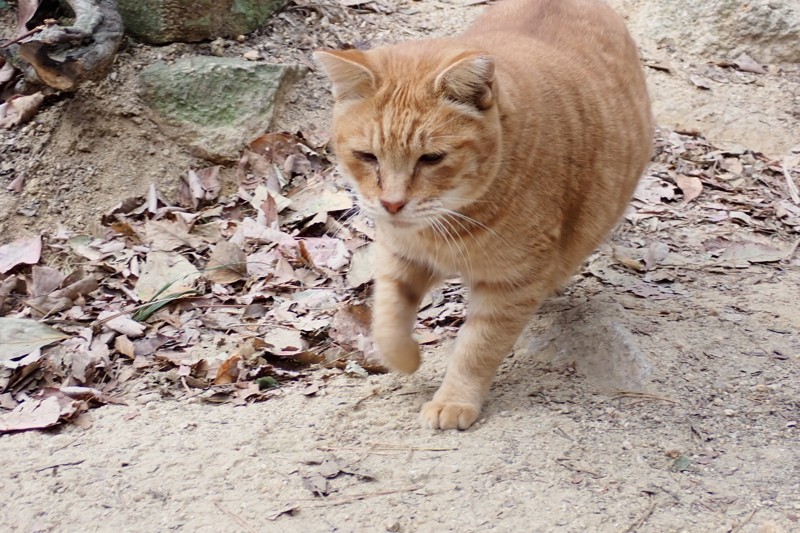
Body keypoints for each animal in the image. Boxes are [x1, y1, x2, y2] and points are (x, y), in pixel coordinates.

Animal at [316, 0, 652, 428]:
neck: (447, 225)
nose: (391, 203)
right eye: (367, 156)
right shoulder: (398, 256)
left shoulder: (510, 285)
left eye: (431, 159)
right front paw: (405, 360)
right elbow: (387, 320)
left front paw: (453, 401)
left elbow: (477, 348)